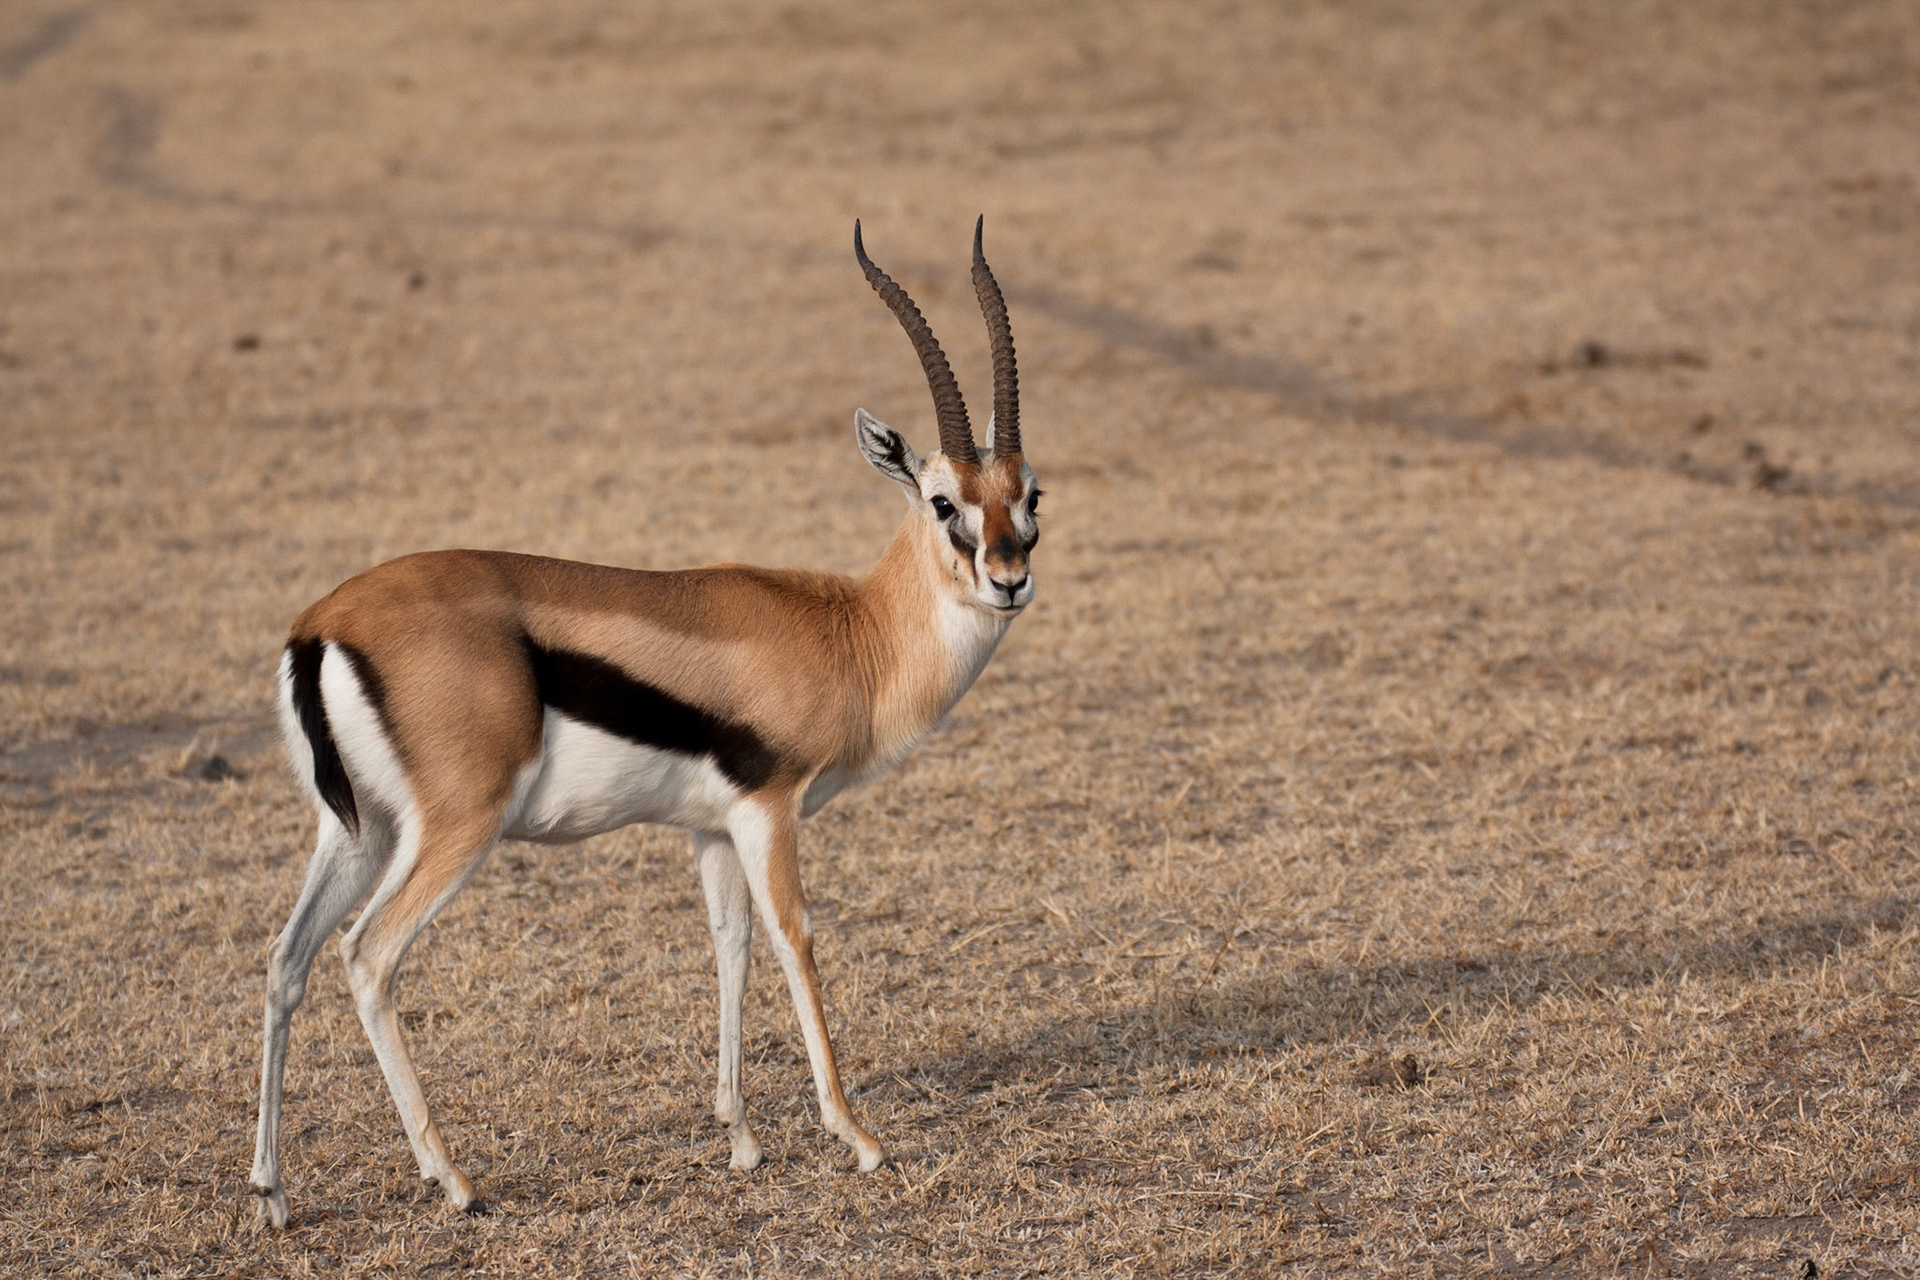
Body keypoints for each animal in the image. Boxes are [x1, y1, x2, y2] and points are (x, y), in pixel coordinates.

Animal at [247, 220, 1041, 1227]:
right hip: (456, 829)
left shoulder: (712, 828)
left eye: (1031, 496)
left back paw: (272, 1190)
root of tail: (322, 624)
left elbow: (731, 949)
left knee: (287, 960)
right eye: (945, 503)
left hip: (359, 830)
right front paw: (857, 1139)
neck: (849, 631)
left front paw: (742, 1142)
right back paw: (453, 1180)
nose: (1009, 579)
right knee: (367, 956)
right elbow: (796, 941)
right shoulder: (770, 811)